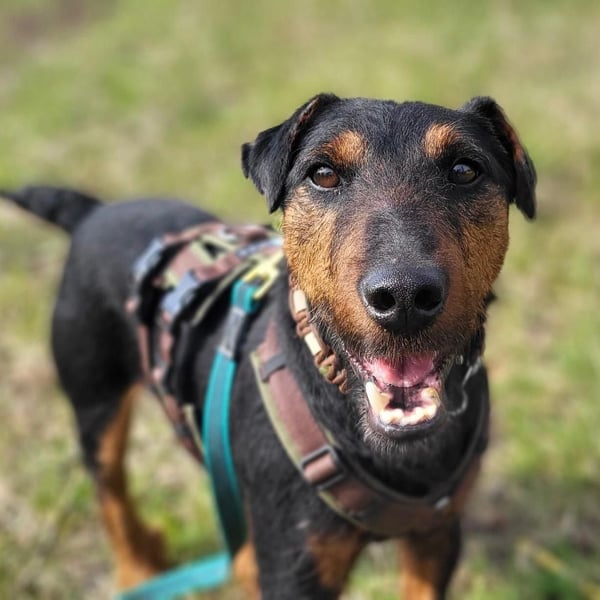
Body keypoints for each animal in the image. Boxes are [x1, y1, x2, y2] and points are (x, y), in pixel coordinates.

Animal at [3, 93, 536, 599]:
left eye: (465, 170)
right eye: (323, 174)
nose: (403, 296)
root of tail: (92, 213)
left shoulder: (436, 537)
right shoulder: (294, 567)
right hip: (95, 401)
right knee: (111, 492)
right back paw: (140, 568)